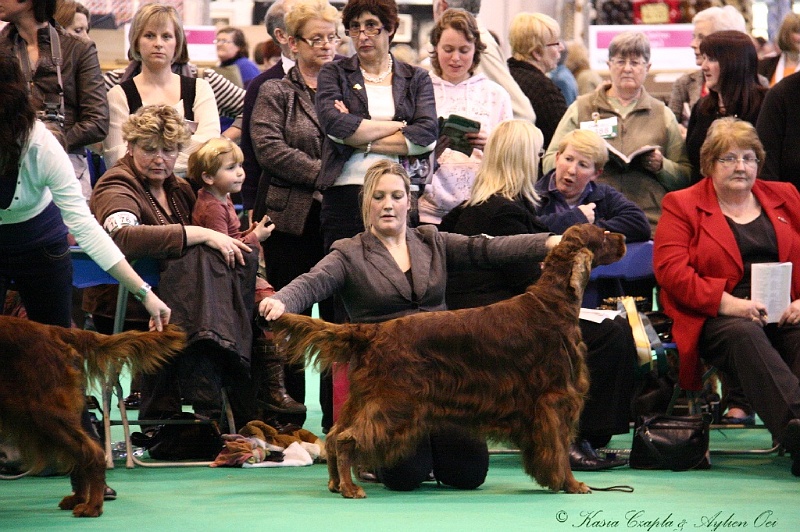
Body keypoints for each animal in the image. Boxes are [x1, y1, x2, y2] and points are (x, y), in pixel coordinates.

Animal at [272, 222, 628, 496]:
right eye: (603, 233)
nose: (624, 238)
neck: (552, 303)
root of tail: (372, 332)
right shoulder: (554, 399)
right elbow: (559, 449)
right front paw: (571, 484)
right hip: (393, 402)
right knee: (347, 439)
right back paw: (350, 488)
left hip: (365, 398)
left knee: (334, 436)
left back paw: (335, 483)